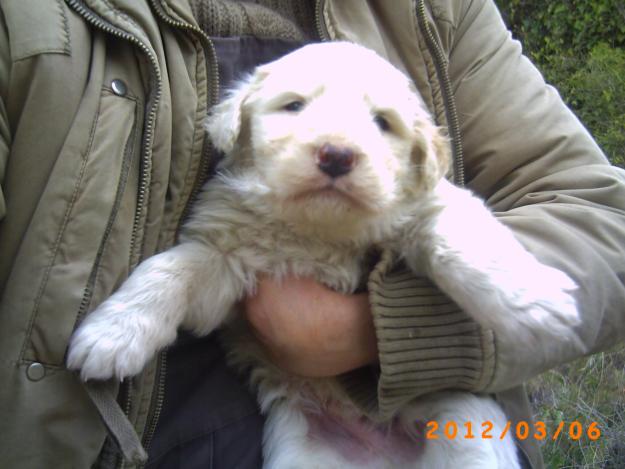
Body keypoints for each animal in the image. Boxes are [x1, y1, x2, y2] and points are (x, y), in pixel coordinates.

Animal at [68, 42, 580, 466]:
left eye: (383, 122)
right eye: (294, 105)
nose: (336, 155)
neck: (318, 231)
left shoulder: (428, 205)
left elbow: (463, 240)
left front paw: (536, 303)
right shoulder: (226, 261)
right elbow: (172, 268)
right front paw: (113, 334)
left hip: (466, 421)